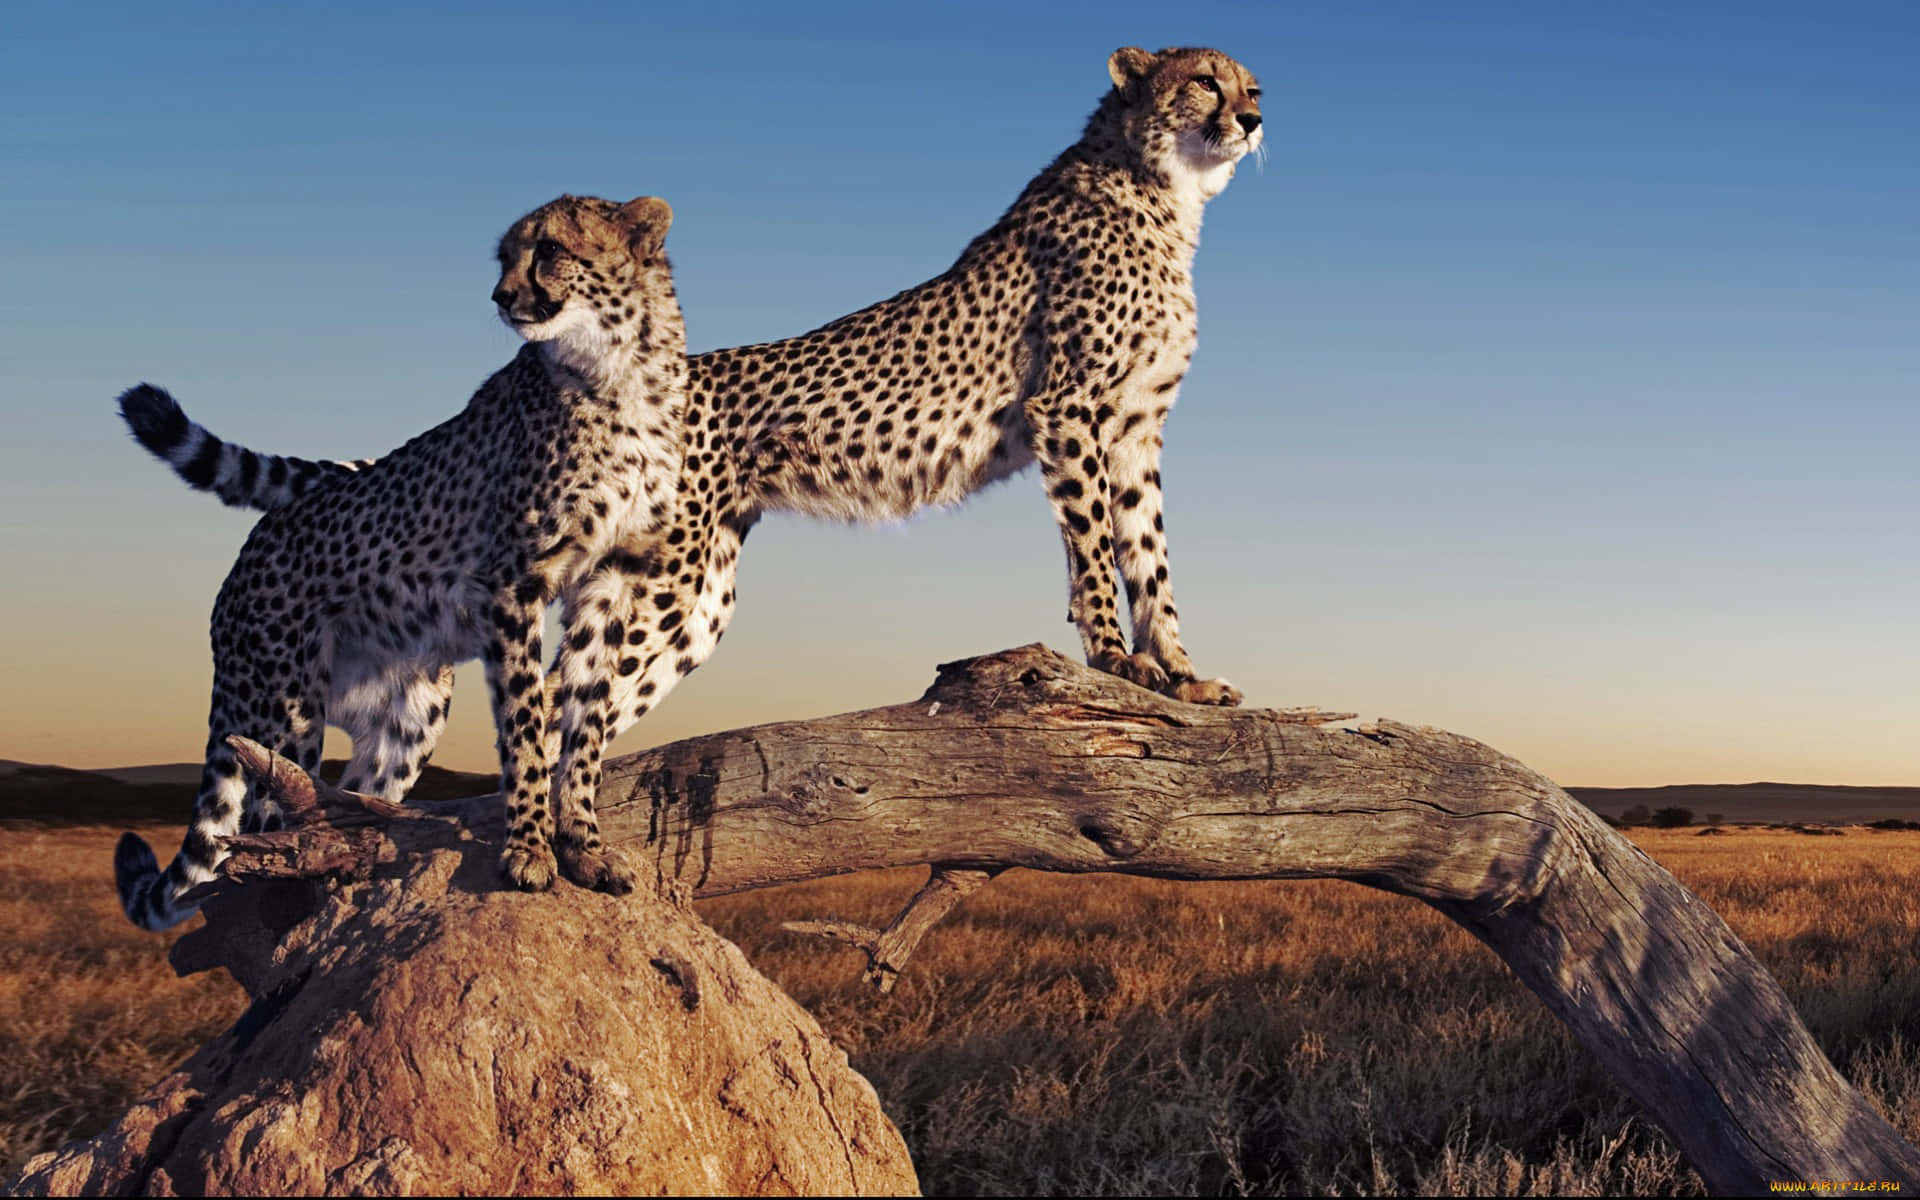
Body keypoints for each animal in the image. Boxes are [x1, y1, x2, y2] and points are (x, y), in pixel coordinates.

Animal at [110, 193, 683, 925]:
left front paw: (583, 846)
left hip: (408, 716)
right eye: (504, 256)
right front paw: (528, 850)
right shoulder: (511, 583)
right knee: (272, 818)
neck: (618, 369)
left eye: (550, 249)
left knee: (355, 795)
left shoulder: (611, 585)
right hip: (285, 706)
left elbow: (587, 724)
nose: (501, 295)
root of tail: (249, 550)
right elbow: (527, 726)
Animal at [120, 46, 1259, 794]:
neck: (1163, 192)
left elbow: (1150, 556)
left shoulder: (1135, 431)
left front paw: (1179, 674)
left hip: (685, 597)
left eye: (1249, 83)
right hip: (666, 589)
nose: (1254, 116)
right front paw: (1118, 664)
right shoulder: (1072, 413)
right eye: (1204, 80)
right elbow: (1097, 553)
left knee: (565, 703)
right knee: (546, 702)